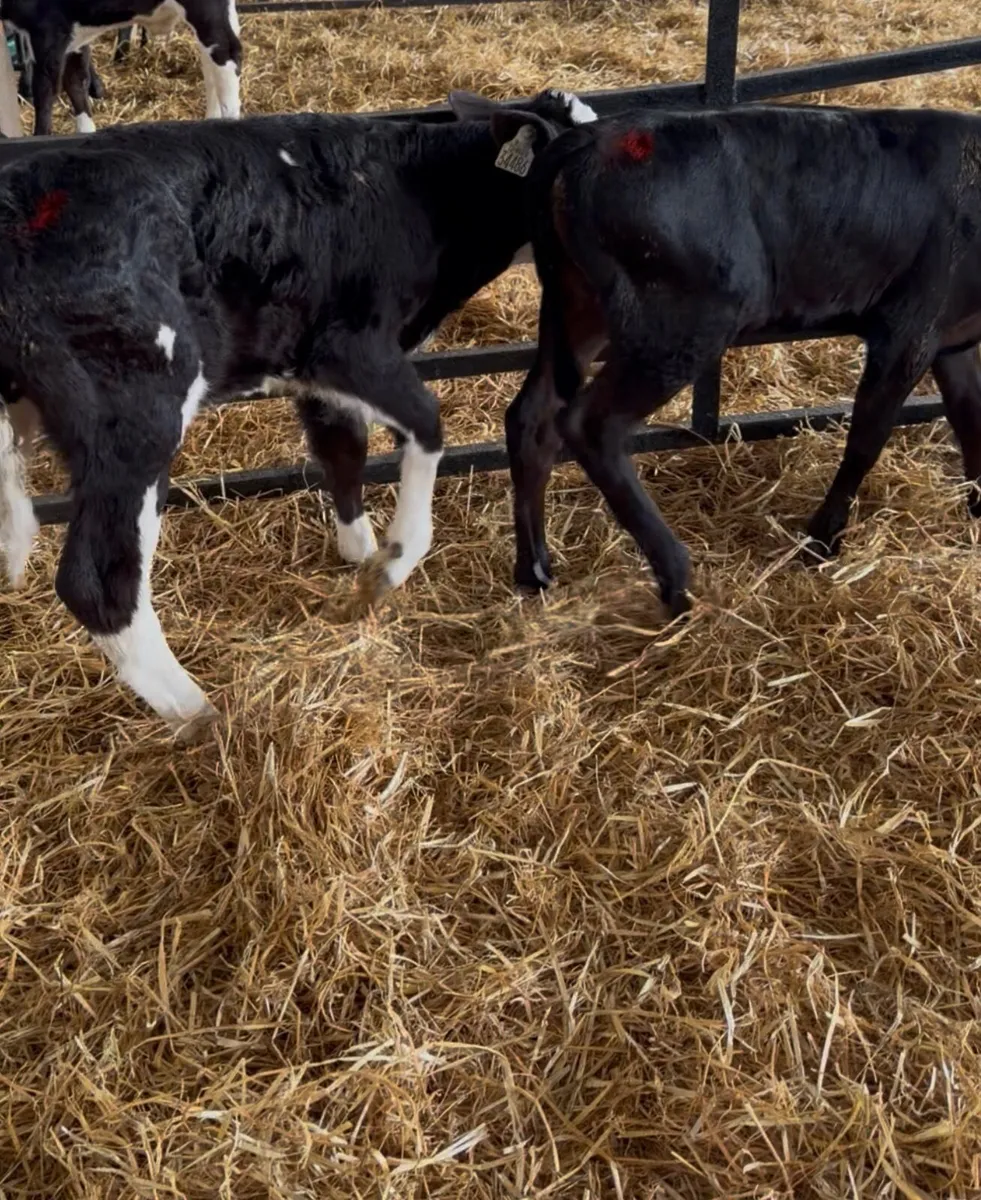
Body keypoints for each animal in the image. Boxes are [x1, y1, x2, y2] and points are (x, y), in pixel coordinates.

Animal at [0, 87, 597, 738]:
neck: (421, 192)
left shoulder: (312, 372)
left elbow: (343, 451)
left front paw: (359, 552)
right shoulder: (347, 346)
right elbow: (426, 424)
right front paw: (389, 566)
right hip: (136, 415)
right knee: (99, 582)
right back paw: (199, 714)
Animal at [3, 0, 241, 135]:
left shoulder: (48, 31)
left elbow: (44, 97)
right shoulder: (73, 37)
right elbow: (77, 85)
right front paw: (85, 132)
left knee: (227, 54)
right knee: (211, 64)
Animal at [505, 103, 981, 615]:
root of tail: (588, 141)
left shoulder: (953, 337)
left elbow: (968, 412)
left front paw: (978, 506)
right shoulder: (908, 330)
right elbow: (865, 442)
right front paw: (821, 539)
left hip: (577, 306)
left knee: (532, 417)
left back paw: (535, 570)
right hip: (682, 323)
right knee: (591, 424)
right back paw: (677, 578)